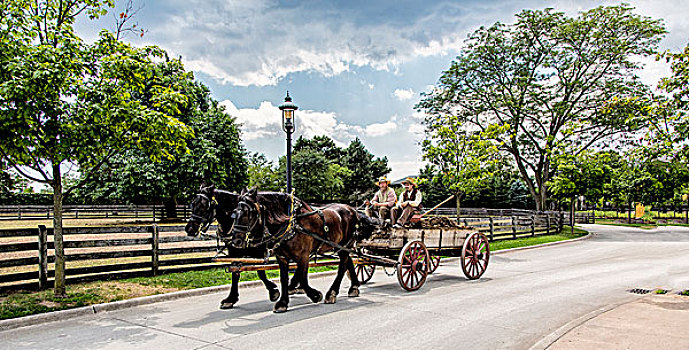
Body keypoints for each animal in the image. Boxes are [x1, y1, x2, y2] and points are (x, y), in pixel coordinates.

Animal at [227, 187, 376, 314]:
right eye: (234, 213)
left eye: (248, 212)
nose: (236, 241)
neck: (292, 223)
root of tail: (352, 209)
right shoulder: (282, 258)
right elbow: (284, 278)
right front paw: (283, 302)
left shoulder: (303, 255)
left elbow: (302, 278)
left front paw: (315, 295)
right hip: (341, 246)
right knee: (348, 262)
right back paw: (354, 287)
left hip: (345, 244)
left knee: (342, 267)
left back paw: (331, 293)